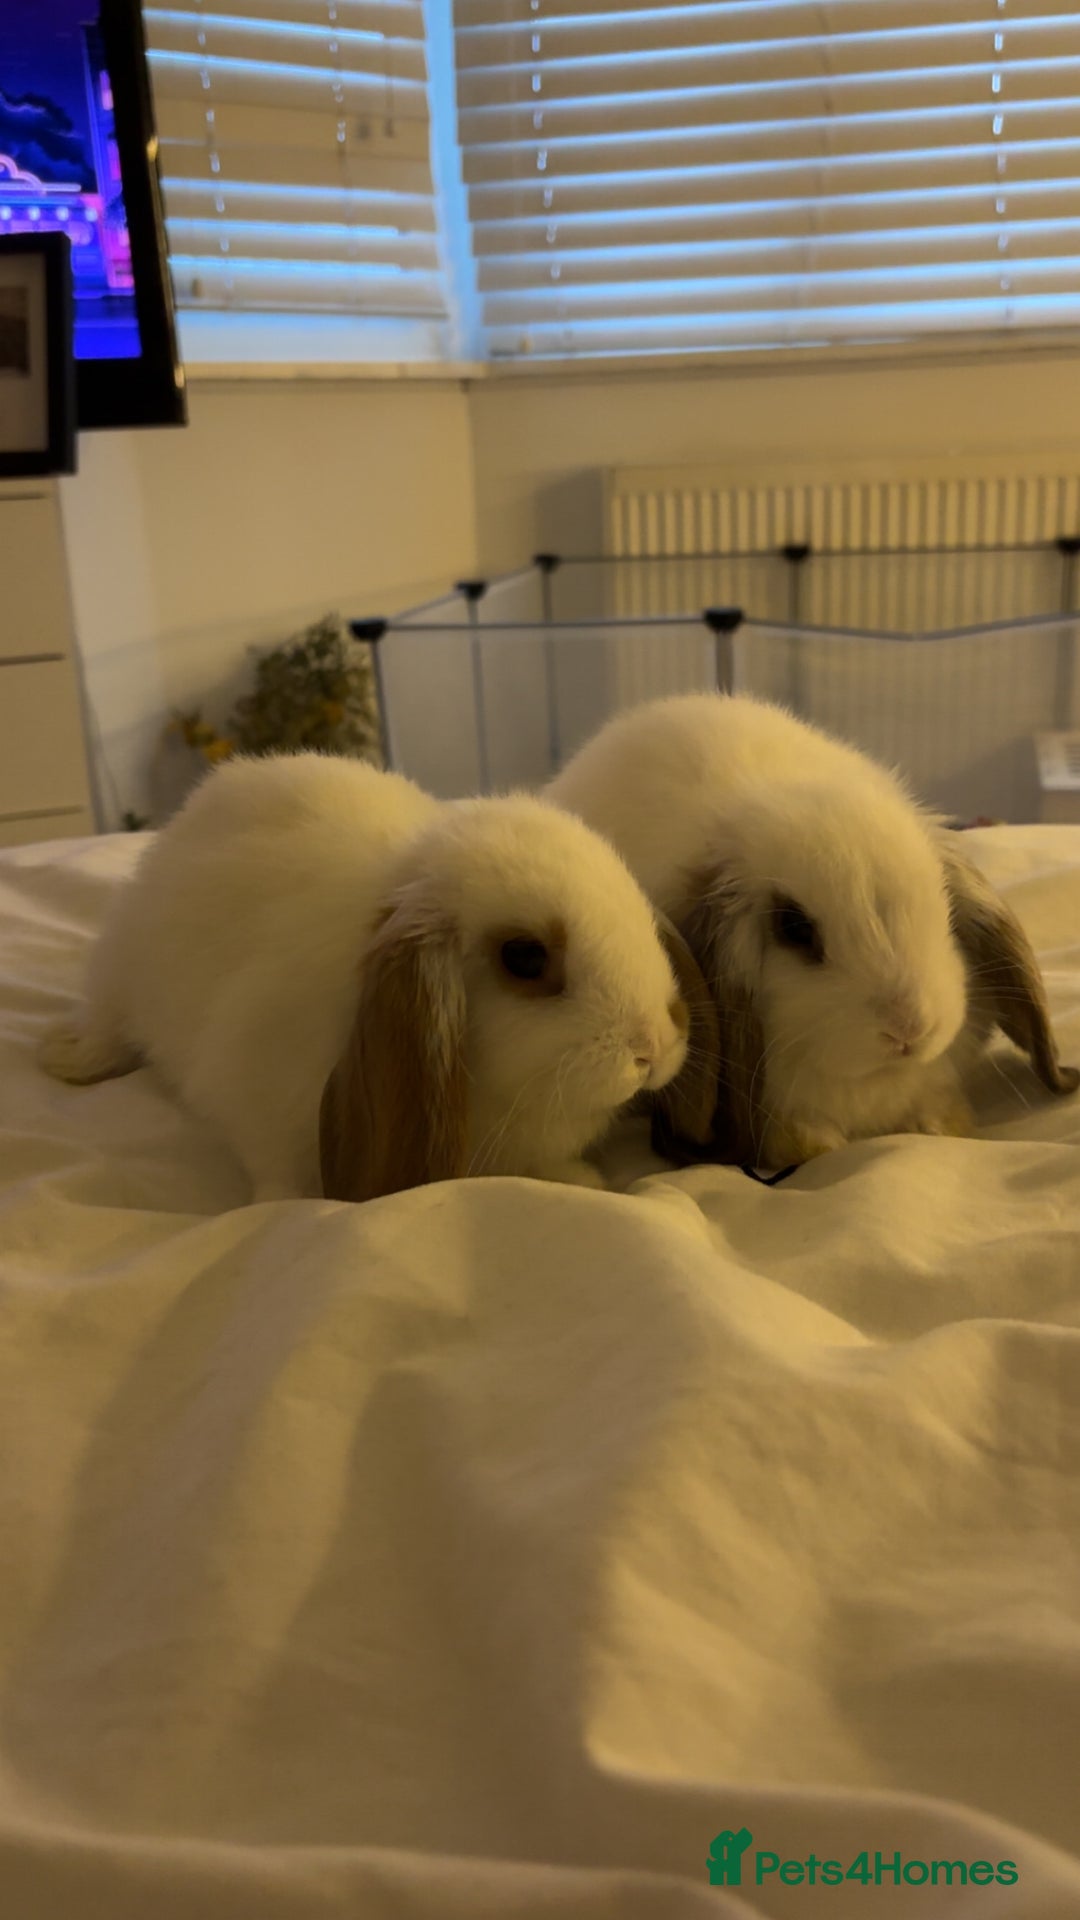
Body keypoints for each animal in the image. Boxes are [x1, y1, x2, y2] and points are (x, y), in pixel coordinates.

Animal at [38, 752, 715, 1205]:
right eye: (524, 957)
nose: (654, 1046)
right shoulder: (255, 1092)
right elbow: (275, 1172)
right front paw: (280, 1210)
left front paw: (584, 1181)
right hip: (123, 969)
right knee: (108, 1019)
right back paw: (70, 1058)